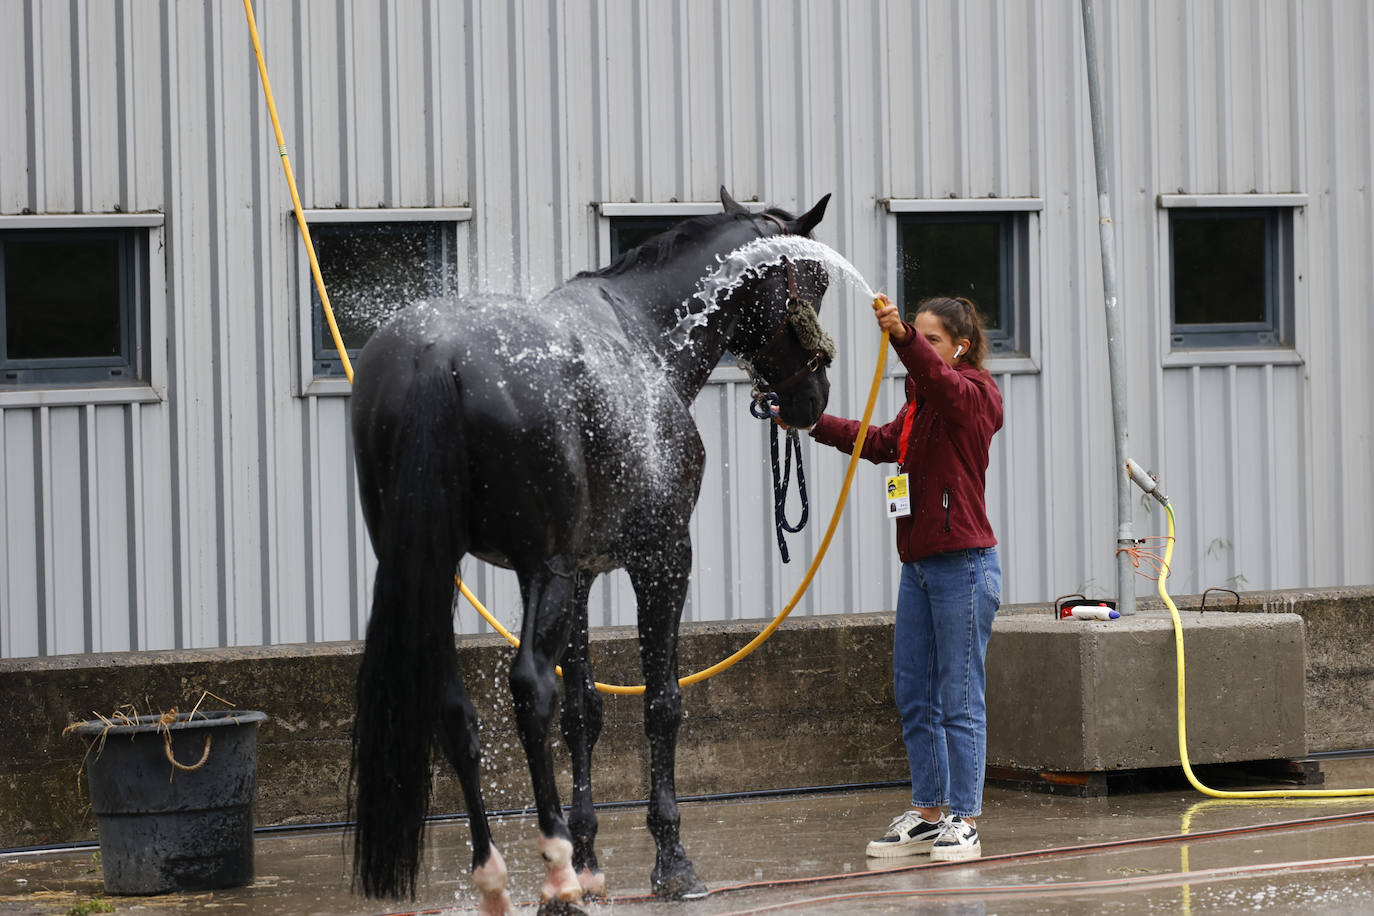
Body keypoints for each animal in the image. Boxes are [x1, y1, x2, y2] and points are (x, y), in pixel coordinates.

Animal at [348, 184, 829, 911]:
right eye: (818, 281)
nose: (812, 399)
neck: (646, 336)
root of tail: (436, 353)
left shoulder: (578, 574)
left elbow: (584, 711)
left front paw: (594, 856)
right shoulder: (661, 558)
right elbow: (659, 704)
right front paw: (671, 864)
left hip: (432, 569)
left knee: (456, 706)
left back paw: (497, 877)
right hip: (536, 570)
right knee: (530, 689)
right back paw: (555, 873)